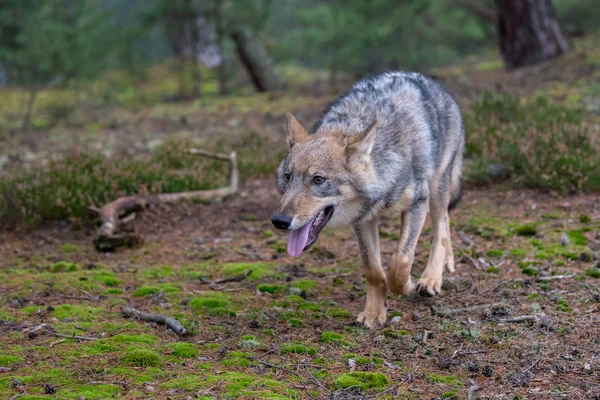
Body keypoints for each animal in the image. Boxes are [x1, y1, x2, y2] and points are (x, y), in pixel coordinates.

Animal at [272, 72, 464, 328]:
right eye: (288, 176)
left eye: (318, 180)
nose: (279, 221)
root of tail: (433, 82)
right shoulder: (363, 219)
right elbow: (373, 270)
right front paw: (374, 313)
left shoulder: (417, 203)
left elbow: (400, 263)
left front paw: (408, 285)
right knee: (445, 224)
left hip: (437, 191)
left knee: (440, 227)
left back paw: (431, 278)